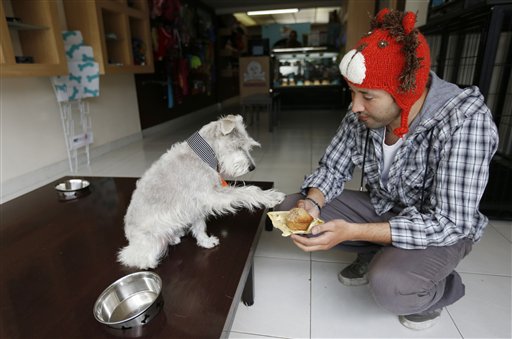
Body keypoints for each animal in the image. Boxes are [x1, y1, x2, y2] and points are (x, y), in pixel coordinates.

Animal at [118, 115, 286, 270]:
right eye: (237, 146)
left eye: (247, 146)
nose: (252, 167)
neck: (205, 154)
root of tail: (129, 235)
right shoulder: (211, 195)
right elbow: (246, 192)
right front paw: (272, 196)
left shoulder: (197, 204)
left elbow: (199, 226)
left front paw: (205, 241)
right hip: (151, 241)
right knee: (131, 257)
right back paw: (148, 262)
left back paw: (175, 236)